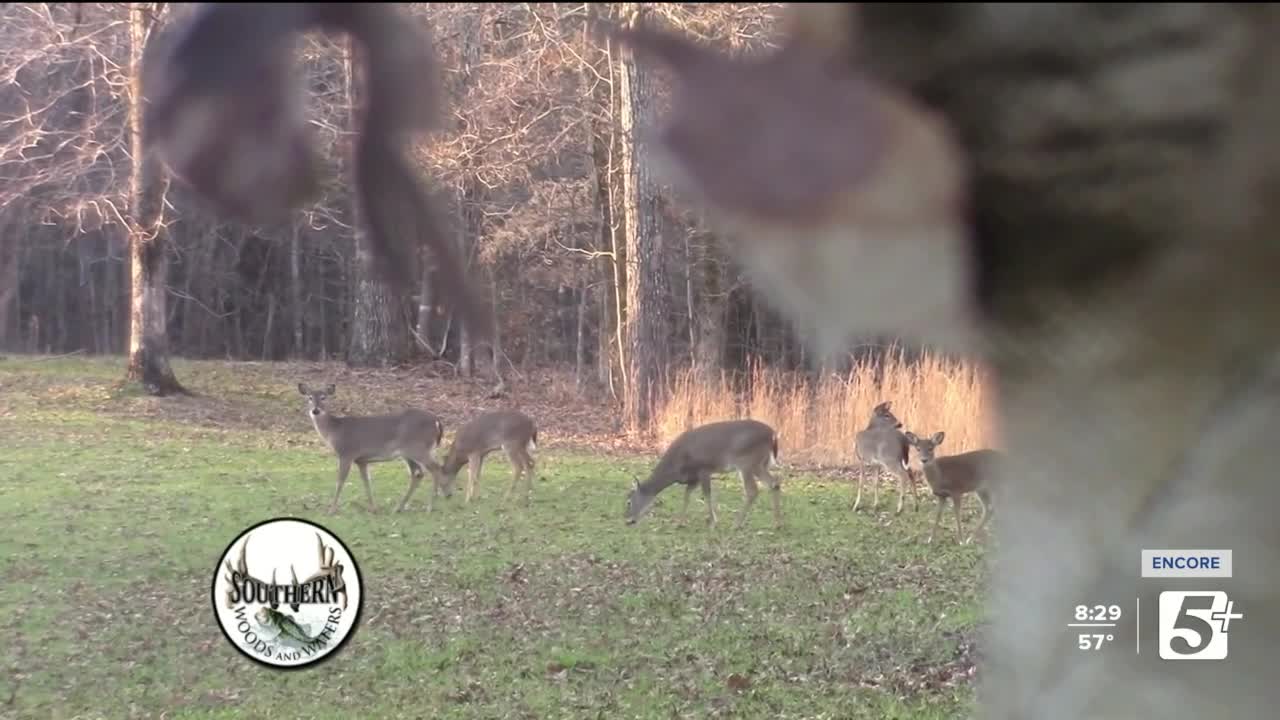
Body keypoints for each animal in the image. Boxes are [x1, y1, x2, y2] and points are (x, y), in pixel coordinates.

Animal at [297, 383, 449, 515]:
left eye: (324, 397)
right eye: (309, 397)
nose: (315, 410)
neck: (334, 431)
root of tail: (436, 420)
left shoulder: (346, 453)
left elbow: (340, 481)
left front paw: (331, 510)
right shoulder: (361, 460)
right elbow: (367, 482)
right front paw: (373, 508)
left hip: (418, 448)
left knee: (435, 468)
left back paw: (430, 507)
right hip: (410, 452)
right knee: (418, 473)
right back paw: (399, 507)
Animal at [624, 419, 782, 530]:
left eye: (628, 501)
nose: (628, 520)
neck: (676, 467)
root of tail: (773, 434)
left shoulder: (703, 469)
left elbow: (706, 494)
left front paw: (713, 522)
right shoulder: (693, 478)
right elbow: (686, 495)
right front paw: (680, 522)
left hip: (747, 462)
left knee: (752, 490)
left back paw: (736, 524)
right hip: (760, 463)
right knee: (774, 483)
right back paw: (776, 524)